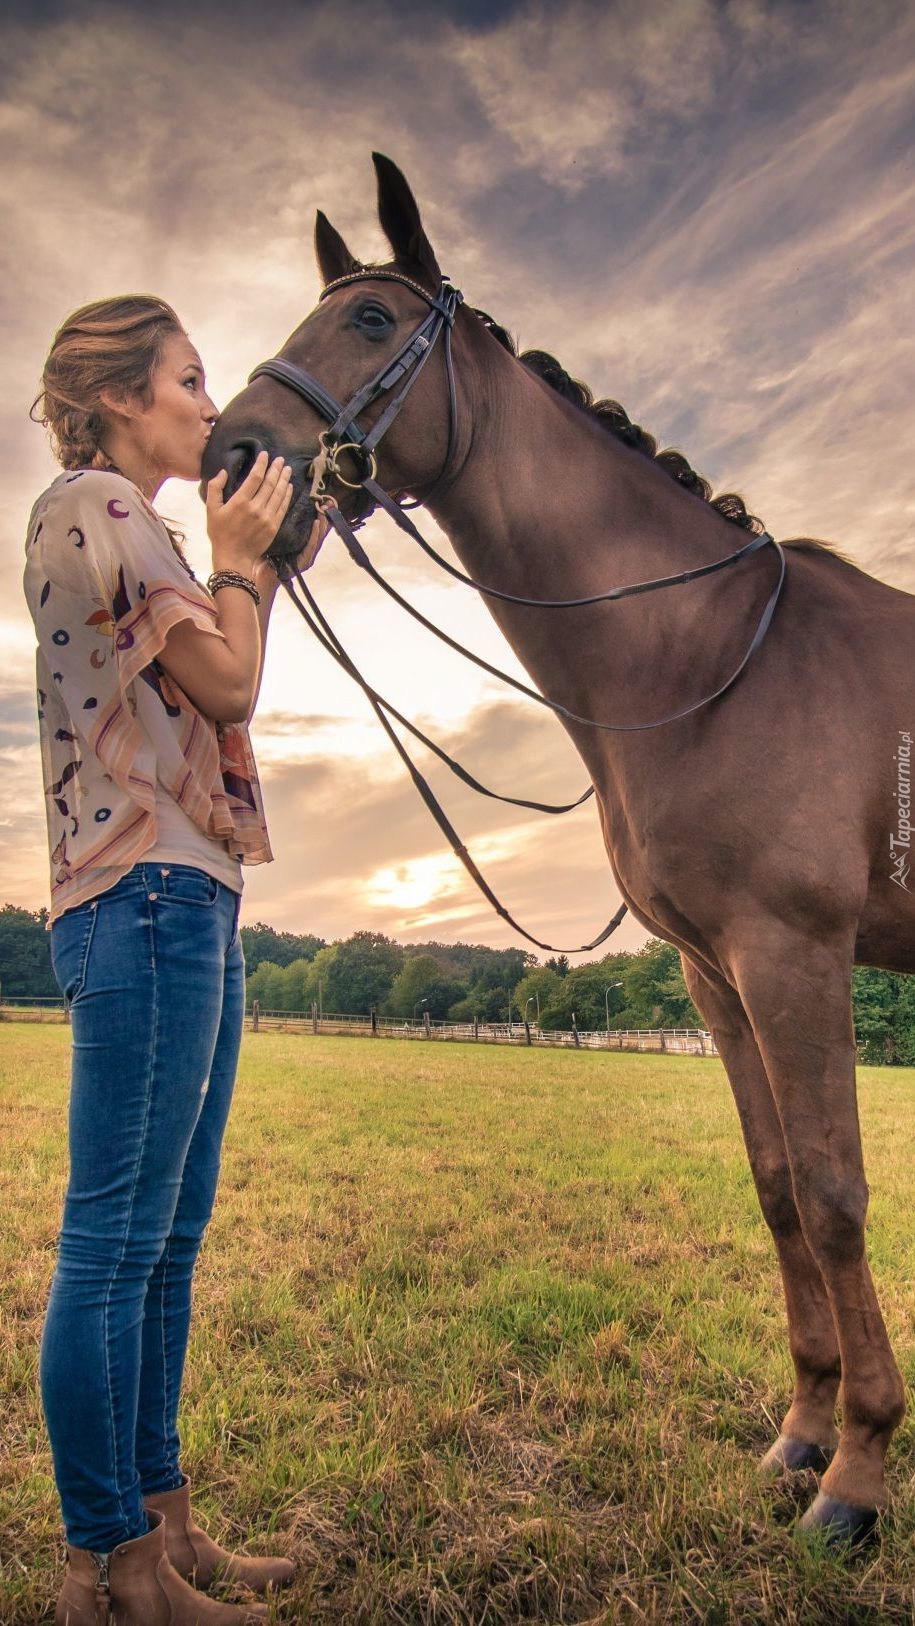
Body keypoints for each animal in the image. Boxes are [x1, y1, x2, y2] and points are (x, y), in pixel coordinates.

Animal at [205, 155, 915, 1547]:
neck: (714, 660)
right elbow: (778, 1190)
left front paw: (857, 1479)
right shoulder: (717, 970)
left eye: (370, 319)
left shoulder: (796, 956)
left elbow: (837, 1195)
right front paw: (802, 1436)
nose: (228, 453)